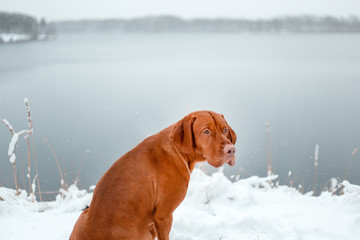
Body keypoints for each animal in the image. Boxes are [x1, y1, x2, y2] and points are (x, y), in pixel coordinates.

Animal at [69, 110, 236, 240]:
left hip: (83, 216)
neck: (177, 150)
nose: (231, 150)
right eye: (206, 131)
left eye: (225, 129)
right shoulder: (163, 216)